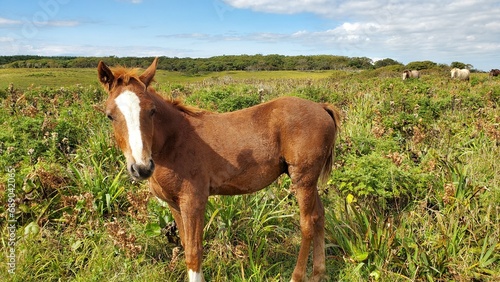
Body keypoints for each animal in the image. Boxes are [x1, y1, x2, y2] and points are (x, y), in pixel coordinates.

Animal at [96, 57, 340, 282]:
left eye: (152, 111)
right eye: (110, 115)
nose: (141, 167)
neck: (174, 142)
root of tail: (322, 107)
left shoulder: (193, 200)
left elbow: (194, 252)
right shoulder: (174, 204)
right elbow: (185, 244)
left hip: (303, 179)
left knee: (307, 224)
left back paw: (297, 276)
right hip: (308, 181)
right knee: (319, 216)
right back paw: (318, 273)